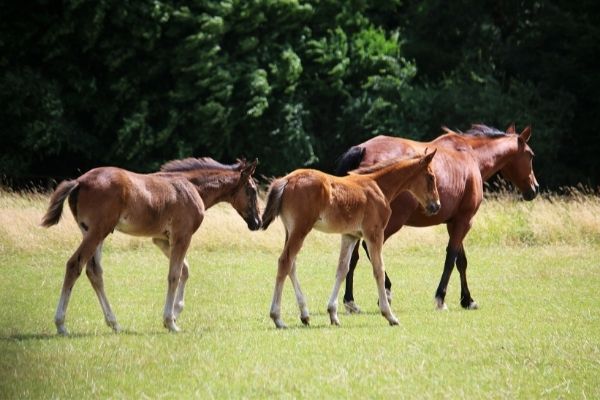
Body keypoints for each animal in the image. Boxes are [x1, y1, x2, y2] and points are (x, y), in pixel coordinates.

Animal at [41, 156, 258, 334]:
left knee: (94, 272)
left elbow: (185, 270)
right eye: (253, 190)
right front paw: (170, 322)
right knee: (74, 265)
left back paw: (114, 323)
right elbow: (174, 274)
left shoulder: (161, 239)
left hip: (93, 233)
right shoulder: (182, 235)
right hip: (97, 232)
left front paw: (175, 314)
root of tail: (79, 181)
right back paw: (61, 324)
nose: (256, 223)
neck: (192, 187)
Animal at [262, 150, 440, 328]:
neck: (379, 186)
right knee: (285, 261)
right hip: (301, 229)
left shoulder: (350, 235)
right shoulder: (374, 233)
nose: (436, 206)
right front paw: (389, 315)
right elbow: (379, 270)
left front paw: (333, 314)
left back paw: (305, 315)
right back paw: (277, 317)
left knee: (291, 265)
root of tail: (286, 179)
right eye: (431, 177)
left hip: (290, 230)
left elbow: (342, 269)